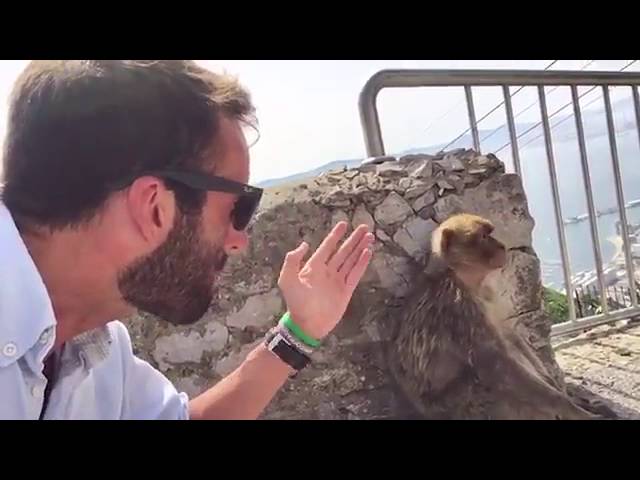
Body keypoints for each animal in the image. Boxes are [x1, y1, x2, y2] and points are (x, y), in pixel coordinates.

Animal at [386, 213, 596, 420]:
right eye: (484, 236)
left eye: (490, 233)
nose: (501, 245)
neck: (461, 277)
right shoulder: (460, 307)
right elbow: (496, 366)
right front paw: (570, 407)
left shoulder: (489, 295)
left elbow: (509, 336)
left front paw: (554, 383)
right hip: (464, 406)